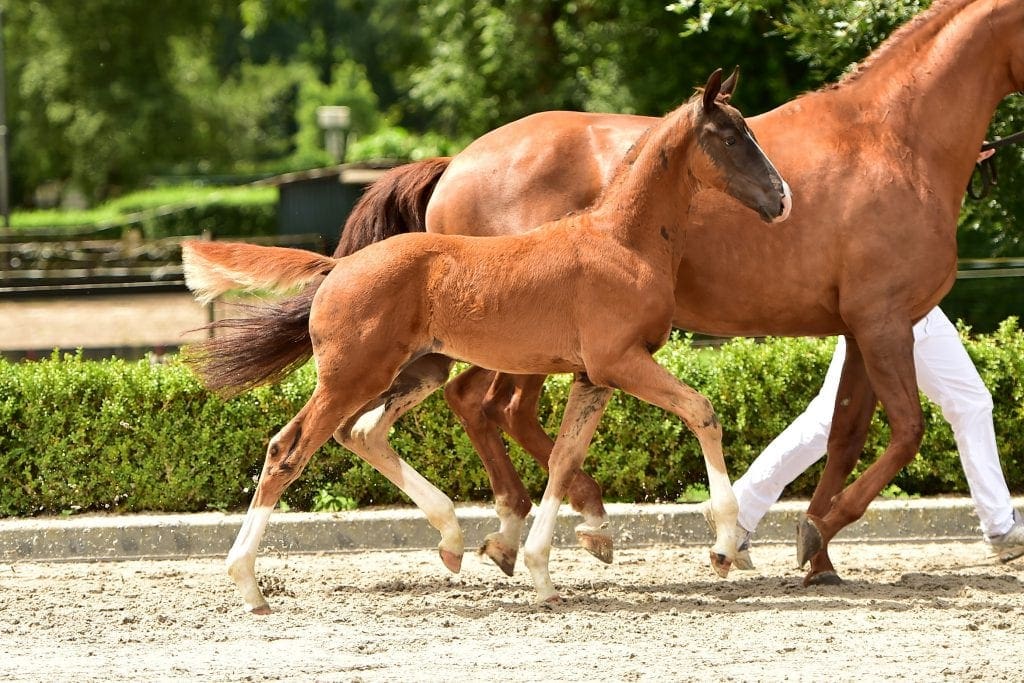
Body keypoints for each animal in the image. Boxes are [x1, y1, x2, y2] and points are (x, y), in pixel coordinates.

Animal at [182, 69, 791, 612]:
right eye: (731, 137)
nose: (782, 198)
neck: (622, 241)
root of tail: (338, 266)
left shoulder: (592, 375)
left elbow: (565, 457)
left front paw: (544, 572)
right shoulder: (621, 362)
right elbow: (701, 411)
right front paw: (724, 545)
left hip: (419, 371)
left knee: (364, 432)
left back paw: (452, 538)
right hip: (352, 376)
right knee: (288, 449)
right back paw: (248, 584)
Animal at [319, 0, 1023, 587]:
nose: (783, 198)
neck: (894, 139)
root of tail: (455, 163)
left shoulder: (862, 326)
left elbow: (847, 430)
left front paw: (812, 551)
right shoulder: (884, 320)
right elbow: (904, 432)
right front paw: (810, 532)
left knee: (488, 408)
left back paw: (531, 528)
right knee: (489, 406)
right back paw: (551, 525)